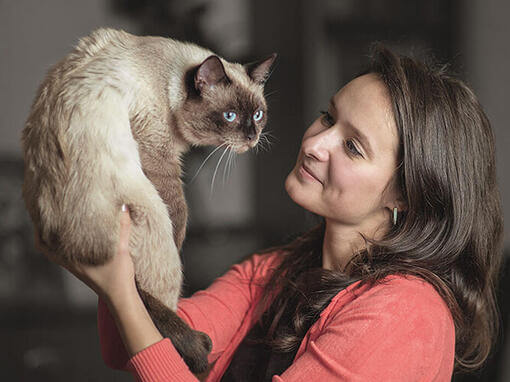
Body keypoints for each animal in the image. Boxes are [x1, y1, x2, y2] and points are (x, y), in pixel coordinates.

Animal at [20, 28, 274, 374]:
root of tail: (60, 241)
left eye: (258, 115)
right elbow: (180, 207)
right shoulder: (159, 154)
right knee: (156, 300)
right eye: (230, 116)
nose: (251, 137)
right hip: (152, 212)